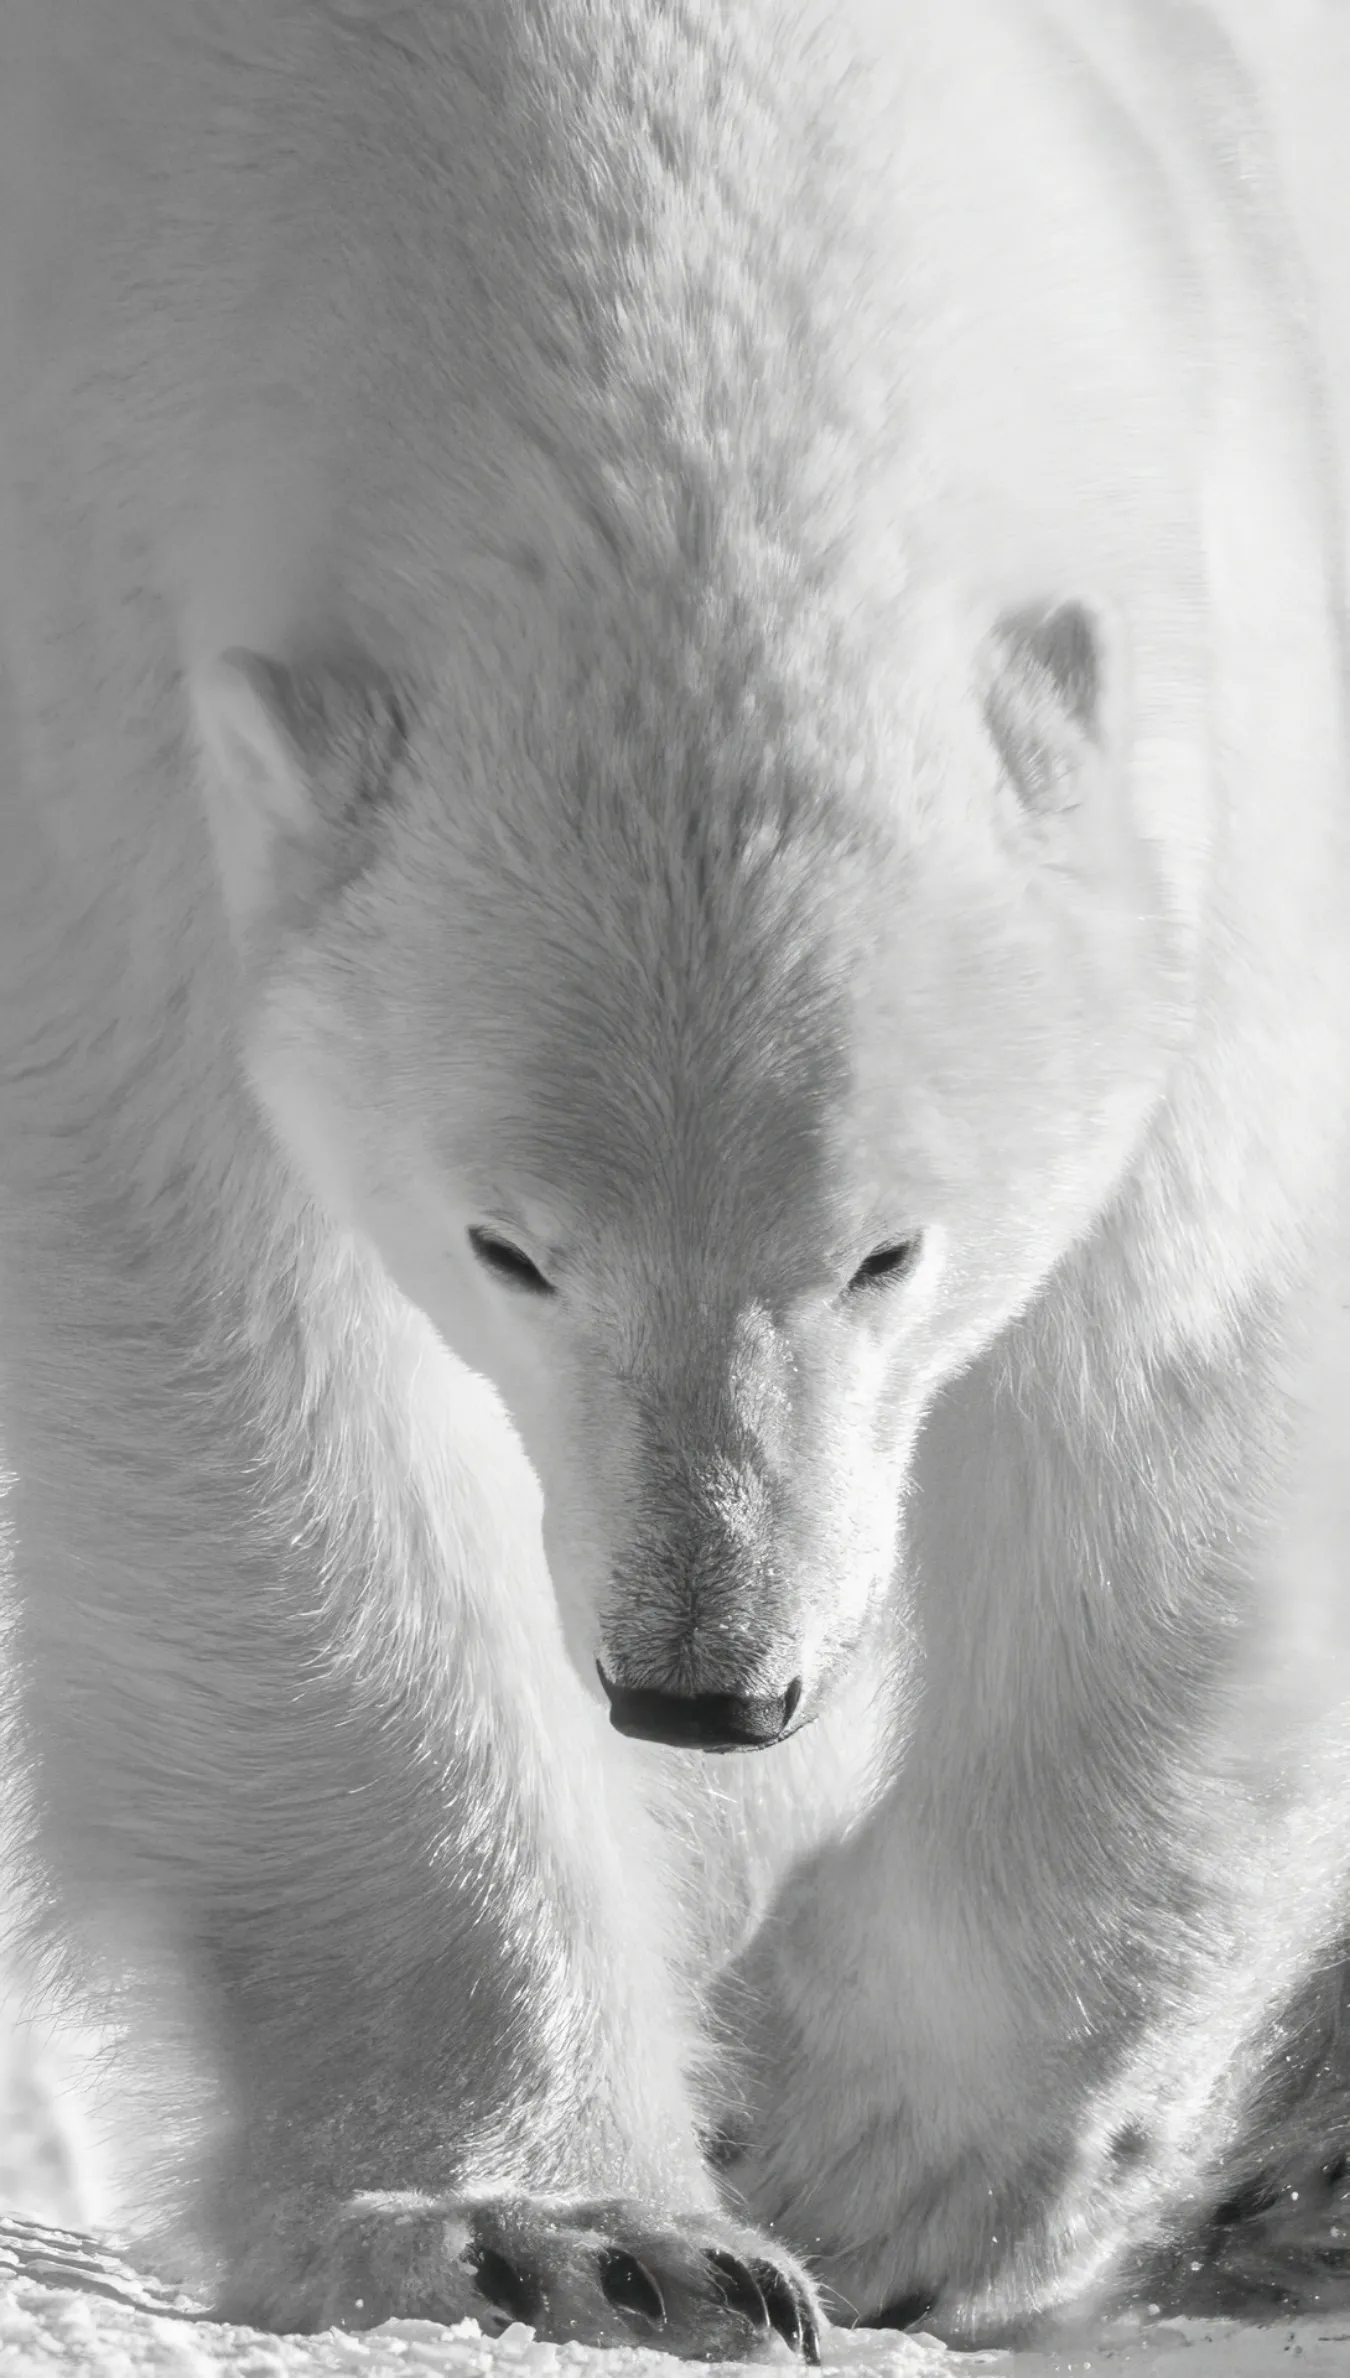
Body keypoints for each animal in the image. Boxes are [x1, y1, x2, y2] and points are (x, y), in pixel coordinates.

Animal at [1, 0, 1349, 2350]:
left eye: (890, 1246)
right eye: (507, 1246)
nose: (704, 1679)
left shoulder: (1235, 550)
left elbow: (1189, 1338)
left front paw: (895, 2157)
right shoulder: (108, 671)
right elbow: (223, 1365)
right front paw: (579, 2229)